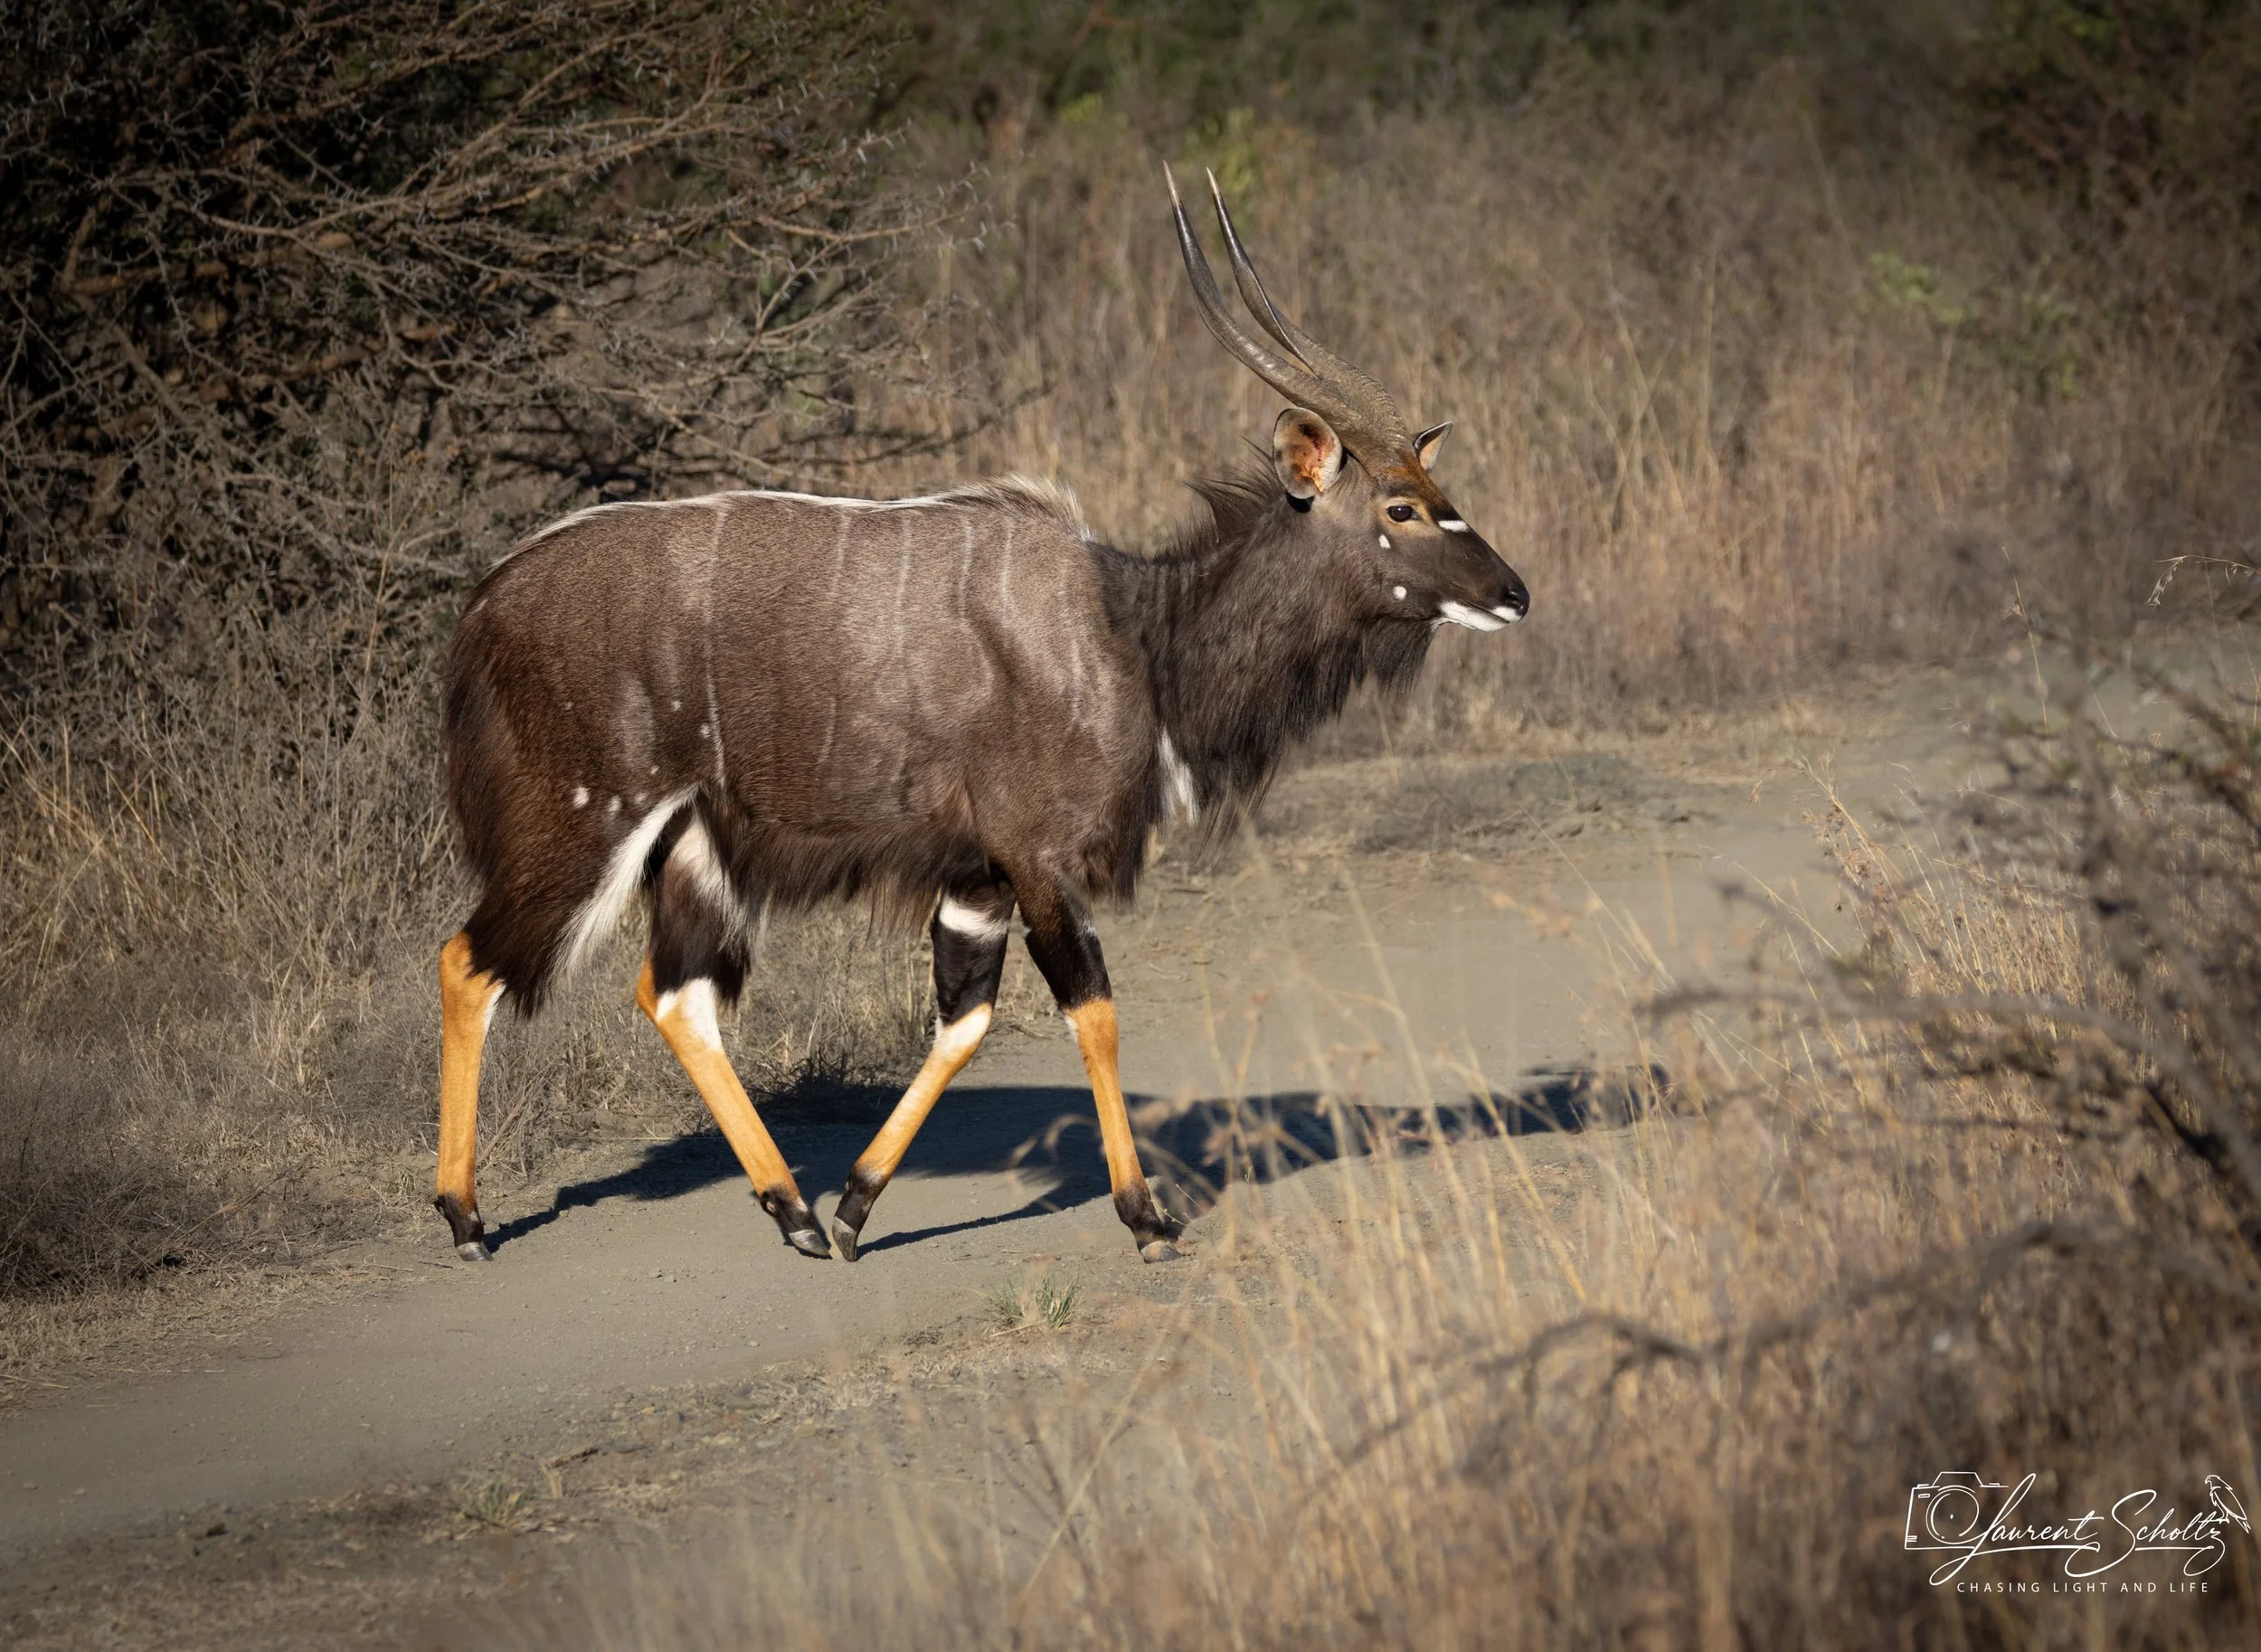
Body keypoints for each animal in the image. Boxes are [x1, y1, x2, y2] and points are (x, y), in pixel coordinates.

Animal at [433, 172, 1529, 1267]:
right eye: (1399, 507)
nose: (1513, 594)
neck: (1134, 634)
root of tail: (484, 606)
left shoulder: (977, 877)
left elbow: (963, 1023)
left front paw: (853, 1206)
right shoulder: (1037, 859)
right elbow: (1094, 1011)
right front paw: (1147, 1218)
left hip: (695, 849)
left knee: (672, 994)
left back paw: (793, 1212)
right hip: (583, 822)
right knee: (470, 962)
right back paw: (467, 1218)